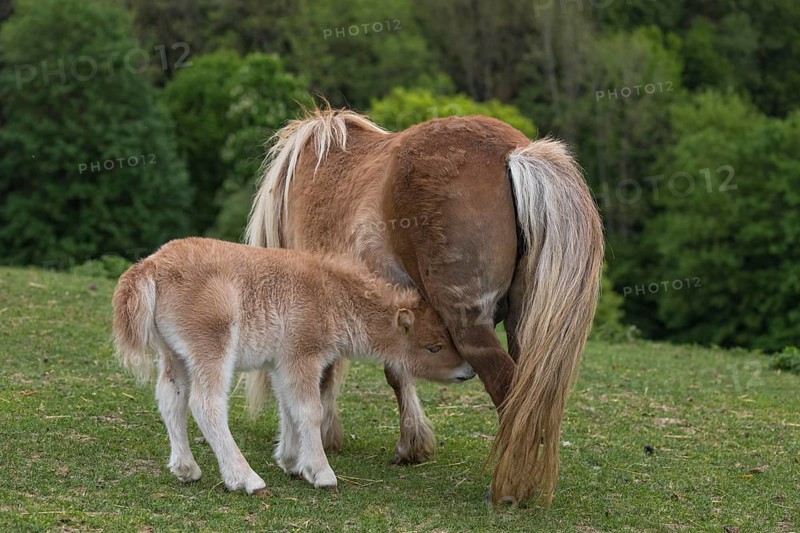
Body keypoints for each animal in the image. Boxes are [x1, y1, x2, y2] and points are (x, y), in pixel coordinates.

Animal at [112, 237, 475, 494]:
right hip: (210, 346)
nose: (468, 371)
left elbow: (287, 407)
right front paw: (321, 473)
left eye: (449, 338)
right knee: (205, 403)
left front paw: (291, 462)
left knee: (170, 399)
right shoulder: (303, 356)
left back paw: (186, 469)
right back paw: (245, 479)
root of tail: (152, 265)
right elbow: (309, 410)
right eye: (434, 347)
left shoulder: (281, 362)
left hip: (174, 354)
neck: (332, 295)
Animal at [245, 108, 604, 504]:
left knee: (510, 394)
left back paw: (509, 488)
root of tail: (515, 152)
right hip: (522, 322)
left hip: (470, 327)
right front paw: (409, 444)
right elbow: (395, 367)